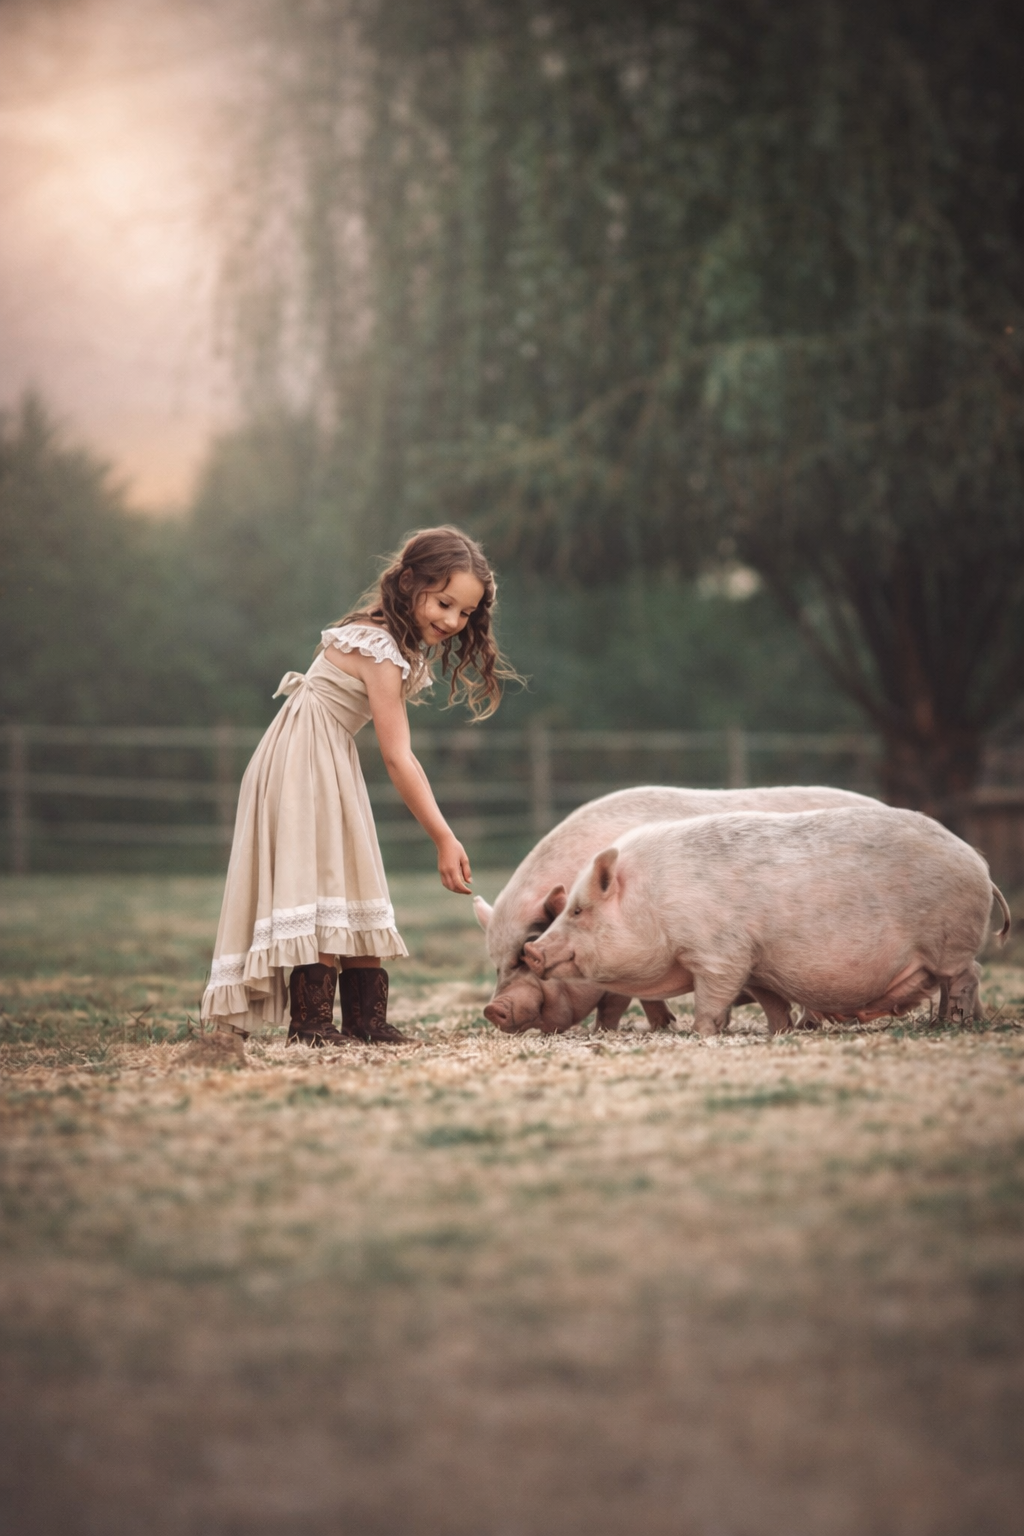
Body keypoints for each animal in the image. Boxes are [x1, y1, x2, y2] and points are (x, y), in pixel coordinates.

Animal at [523, 806, 1011, 1037]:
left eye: (578, 910)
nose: (530, 950)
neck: (653, 902)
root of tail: (981, 866)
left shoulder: (720, 952)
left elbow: (711, 998)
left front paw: (701, 1033)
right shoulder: (758, 965)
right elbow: (772, 1001)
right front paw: (781, 1032)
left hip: (950, 943)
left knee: (967, 975)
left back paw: (952, 1024)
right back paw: (956, 1024)